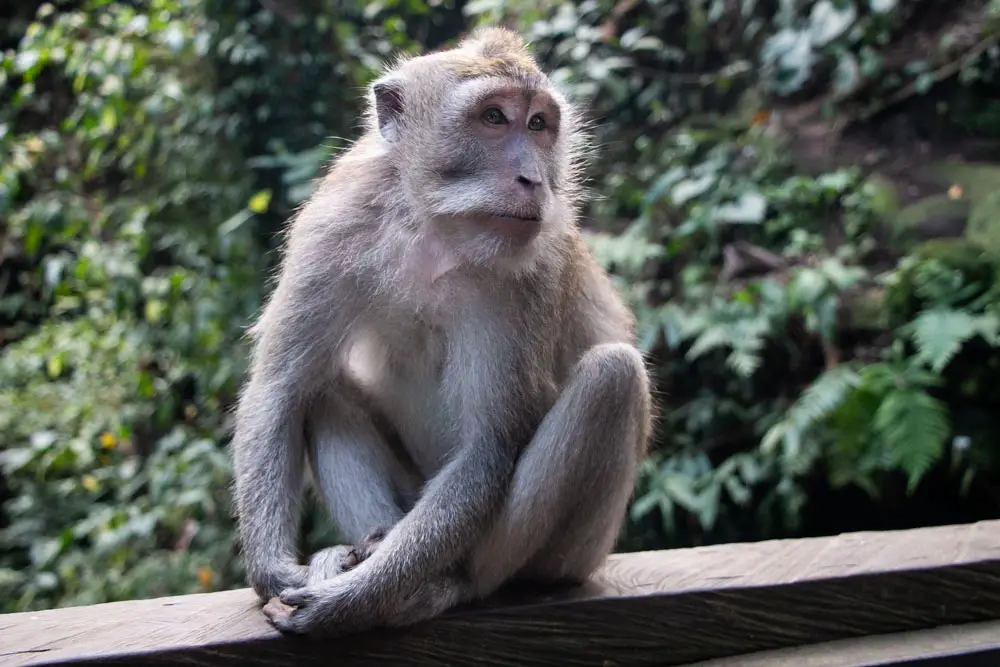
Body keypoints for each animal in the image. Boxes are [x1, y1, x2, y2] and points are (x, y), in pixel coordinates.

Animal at [231, 26, 656, 640]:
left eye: (538, 124)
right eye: (494, 117)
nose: (532, 178)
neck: (436, 228)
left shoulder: (528, 276)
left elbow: (487, 447)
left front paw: (354, 599)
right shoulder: (332, 226)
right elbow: (280, 390)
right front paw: (275, 569)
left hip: (578, 552)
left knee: (612, 377)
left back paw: (443, 585)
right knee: (324, 391)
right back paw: (366, 546)